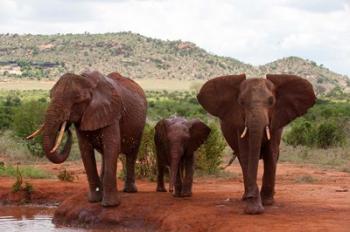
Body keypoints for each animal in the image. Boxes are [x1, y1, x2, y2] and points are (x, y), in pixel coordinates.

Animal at [27, 69, 146, 207]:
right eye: (50, 95)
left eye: (77, 99)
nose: (67, 127)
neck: (87, 81)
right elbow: (85, 150)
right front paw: (94, 200)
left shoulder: (112, 113)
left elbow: (112, 146)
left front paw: (110, 205)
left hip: (139, 126)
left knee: (132, 154)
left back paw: (130, 191)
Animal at [197, 74, 318, 214]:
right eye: (241, 102)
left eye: (271, 102)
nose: (251, 196)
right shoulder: (240, 124)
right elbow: (247, 154)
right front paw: (253, 208)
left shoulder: (276, 123)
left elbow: (271, 153)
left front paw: (267, 202)